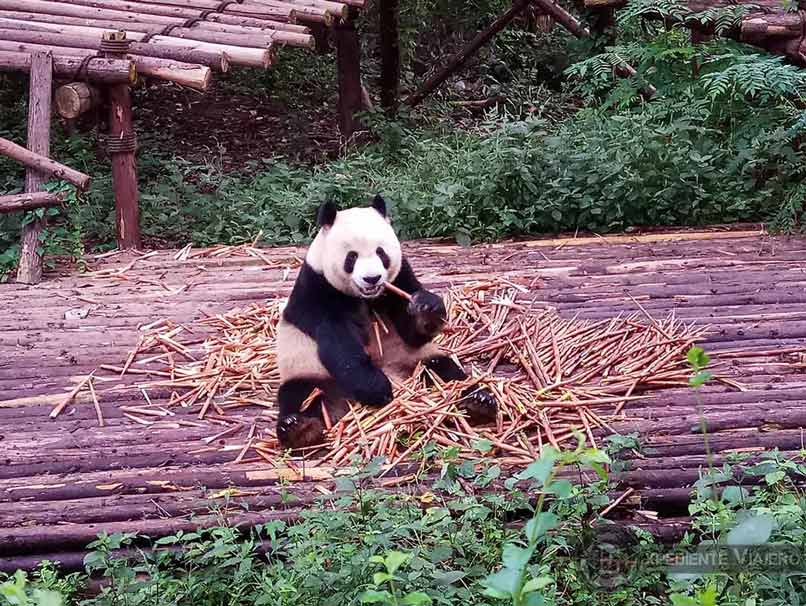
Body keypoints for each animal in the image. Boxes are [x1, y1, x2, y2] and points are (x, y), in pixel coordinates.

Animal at [276, 195, 498, 452]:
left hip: (417, 361)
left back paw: (479, 401)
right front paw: (376, 388)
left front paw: (427, 307)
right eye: (352, 257)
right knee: (299, 394)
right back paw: (299, 429)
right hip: (308, 369)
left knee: (446, 373)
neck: (366, 297)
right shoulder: (317, 289)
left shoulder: (400, 277)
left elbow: (411, 329)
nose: (372, 278)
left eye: (381, 253)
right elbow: (338, 341)